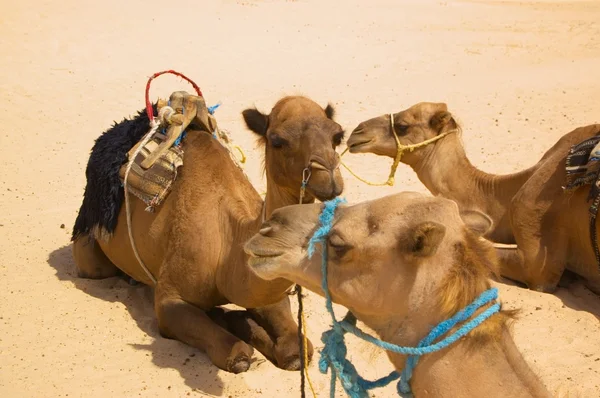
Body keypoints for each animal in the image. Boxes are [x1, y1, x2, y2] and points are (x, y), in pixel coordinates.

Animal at [71, 90, 344, 374]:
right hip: (89, 245)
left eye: (337, 136)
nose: (329, 176)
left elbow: (297, 350)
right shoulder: (170, 300)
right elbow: (234, 354)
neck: (228, 244)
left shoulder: (266, 287)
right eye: (278, 141)